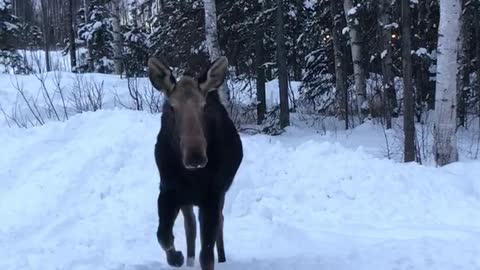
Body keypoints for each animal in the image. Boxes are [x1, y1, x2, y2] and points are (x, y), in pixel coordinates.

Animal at [147, 55, 244, 270]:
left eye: (203, 106)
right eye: (172, 107)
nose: (195, 158)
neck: (193, 177)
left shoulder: (212, 195)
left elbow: (206, 255)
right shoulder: (168, 190)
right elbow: (162, 235)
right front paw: (176, 257)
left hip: (218, 195)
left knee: (219, 222)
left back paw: (222, 257)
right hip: (187, 200)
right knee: (189, 224)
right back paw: (189, 259)